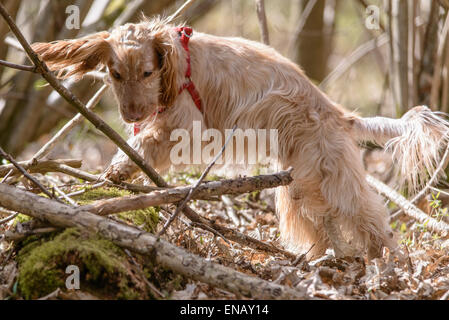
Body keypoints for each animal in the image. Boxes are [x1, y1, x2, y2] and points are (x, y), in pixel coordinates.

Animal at [32, 16, 448, 258]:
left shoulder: (184, 125)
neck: (179, 60)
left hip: (332, 183)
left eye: (147, 72)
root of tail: (341, 116)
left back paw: (390, 263)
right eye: (115, 75)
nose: (132, 114)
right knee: (326, 230)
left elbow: (144, 144)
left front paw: (116, 171)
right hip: (300, 189)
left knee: (372, 221)